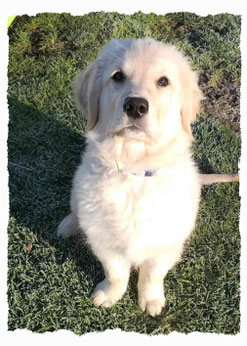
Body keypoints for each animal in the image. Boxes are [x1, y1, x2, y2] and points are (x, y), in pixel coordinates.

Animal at [57, 37, 238, 316]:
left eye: (163, 81)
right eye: (118, 76)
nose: (135, 106)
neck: (136, 171)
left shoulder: (167, 242)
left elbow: (153, 274)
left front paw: (151, 299)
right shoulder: (105, 241)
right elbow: (116, 273)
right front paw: (109, 294)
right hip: (80, 190)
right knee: (77, 209)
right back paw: (68, 225)